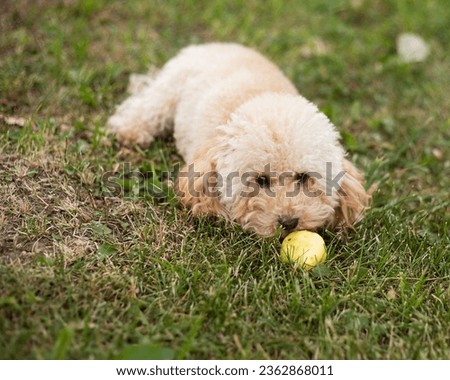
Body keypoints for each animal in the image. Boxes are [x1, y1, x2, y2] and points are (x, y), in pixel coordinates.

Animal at [108, 43, 370, 236]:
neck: (257, 98)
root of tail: (213, 45)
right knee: (147, 107)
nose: (288, 222)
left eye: (304, 177)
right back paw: (130, 130)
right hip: (169, 89)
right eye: (260, 180)